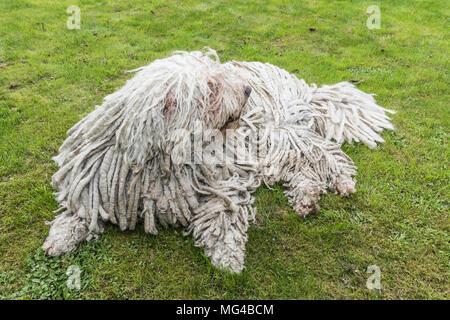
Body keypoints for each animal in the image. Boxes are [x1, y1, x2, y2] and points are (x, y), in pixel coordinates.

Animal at [42, 48, 394, 272]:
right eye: (212, 87)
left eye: (218, 77)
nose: (247, 90)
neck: (159, 160)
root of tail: (304, 87)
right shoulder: (95, 182)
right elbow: (81, 209)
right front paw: (59, 238)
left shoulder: (218, 181)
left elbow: (222, 213)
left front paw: (228, 258)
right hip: (274, 149)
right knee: (302, 168)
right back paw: (306, 199)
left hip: (278, 134)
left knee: (324, 155)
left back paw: (342, 182)